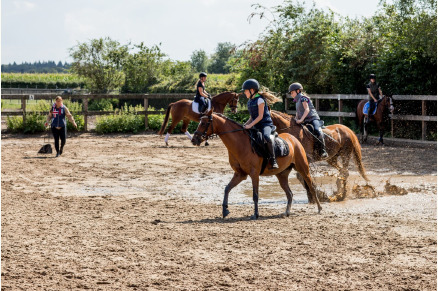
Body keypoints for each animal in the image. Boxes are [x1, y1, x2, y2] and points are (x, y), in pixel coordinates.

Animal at [192, 110, 322, 220]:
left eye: (204, 123)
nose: (194, 140)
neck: (240, 144)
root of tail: (293, 139)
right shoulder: (240, 174)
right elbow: (227, 188)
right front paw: (225, 211)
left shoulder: (254, 174)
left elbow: (255, 195)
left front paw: (255, 214)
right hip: (282, 175)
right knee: (289, 193)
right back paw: (286, 212)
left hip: (303, 168)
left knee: (311, 186)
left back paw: (319, 208)